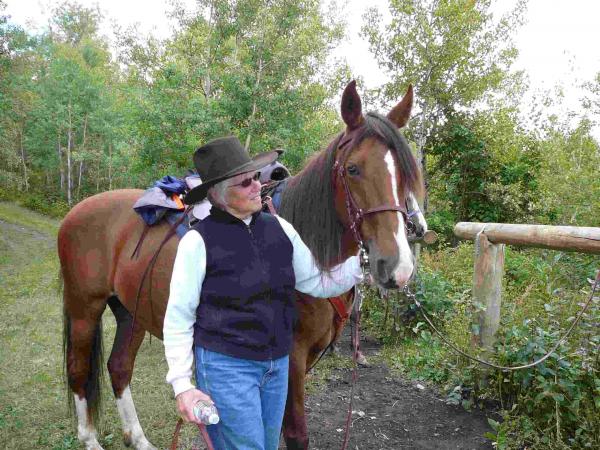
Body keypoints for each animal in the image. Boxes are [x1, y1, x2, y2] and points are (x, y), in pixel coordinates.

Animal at [58, 81, 420, 450]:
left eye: (406, 175)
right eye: (353, 169)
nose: (397, 265)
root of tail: (79, 209)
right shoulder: (292, 360)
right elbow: (295, 435)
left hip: (130, 312)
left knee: (119, 368)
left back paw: (139, 438)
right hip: (85, 309)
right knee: (78, 371)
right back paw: (90, 439)